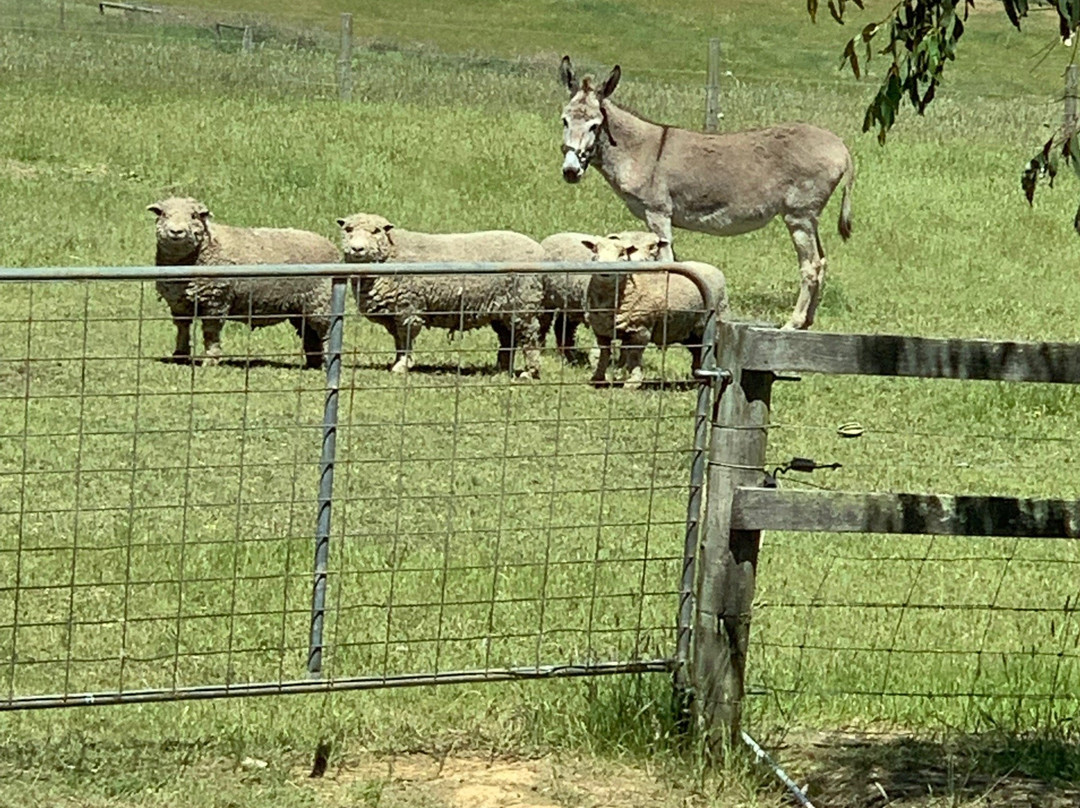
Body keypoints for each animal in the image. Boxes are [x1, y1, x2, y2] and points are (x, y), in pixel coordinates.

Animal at [147, 198, 339, 369]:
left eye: (194, 216)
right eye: (163, 214)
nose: (176, 231)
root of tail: (332, 247)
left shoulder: (215, 301)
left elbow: (211, 332)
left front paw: (210, 360)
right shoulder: (178, 301)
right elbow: (182, 328)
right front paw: (179, 355)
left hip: (321, 301)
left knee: (326, 331)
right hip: (300, 306)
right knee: (310, 334)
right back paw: (314, 363)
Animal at [336, 212, 548, 380]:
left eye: (376, 231)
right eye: (348, 229)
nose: (357, 249)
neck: (392, 253)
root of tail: (540, 250)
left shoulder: (409, 308)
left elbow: (406, 338)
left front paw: (403, 365)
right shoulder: (394, 313)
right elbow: (398, 341)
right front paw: (398, 362)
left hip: (523, 303)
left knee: (529, 336)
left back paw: (530, 371)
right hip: (502, 308)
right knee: (508, 338)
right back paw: (502, 369)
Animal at [537, 229, 660, 365]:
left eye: (653, 247)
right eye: (595, 249)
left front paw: (621, 364)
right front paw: (597, 360)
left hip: (571, 301)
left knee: (562, 327)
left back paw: (570, 358)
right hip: (546, 299)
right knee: (543, 322)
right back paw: (541, 350)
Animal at [587, 238, 730, 388]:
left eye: (622, 253)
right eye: (595, 250)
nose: (605, 272)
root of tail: (714, 269)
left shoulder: (640, 330)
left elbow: (634, 356)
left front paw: (633, 382)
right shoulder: (601, 331)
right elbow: (604, 354)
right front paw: (597, 378)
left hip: (717, 322)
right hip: (691, 331)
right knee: (697, 350)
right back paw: (697, 377)